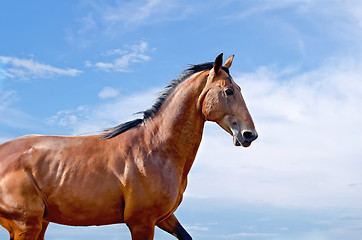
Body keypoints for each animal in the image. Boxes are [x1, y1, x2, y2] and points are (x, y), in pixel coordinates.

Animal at [1, 54, 258, 240]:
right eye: (229, 91)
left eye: (239, 89)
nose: (249, 135)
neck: (156, 148)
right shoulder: (141, 222)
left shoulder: (164, 217)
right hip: (27, 225)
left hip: (38, 224)